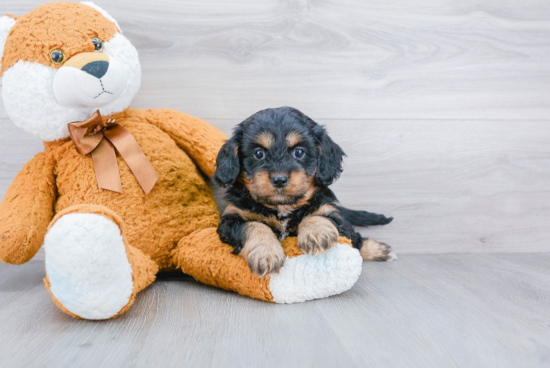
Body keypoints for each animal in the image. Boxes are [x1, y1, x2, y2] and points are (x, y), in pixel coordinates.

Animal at [212, 108, 396, 278]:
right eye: (259, 153)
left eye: (299, 152)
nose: (279, 180)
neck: (282, 207)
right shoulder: (231, 220)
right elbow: (254, 225)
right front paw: (266, 253)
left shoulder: (328, 209)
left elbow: (316, 214)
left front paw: (316, 232)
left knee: (355, 238)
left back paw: (378, 250)